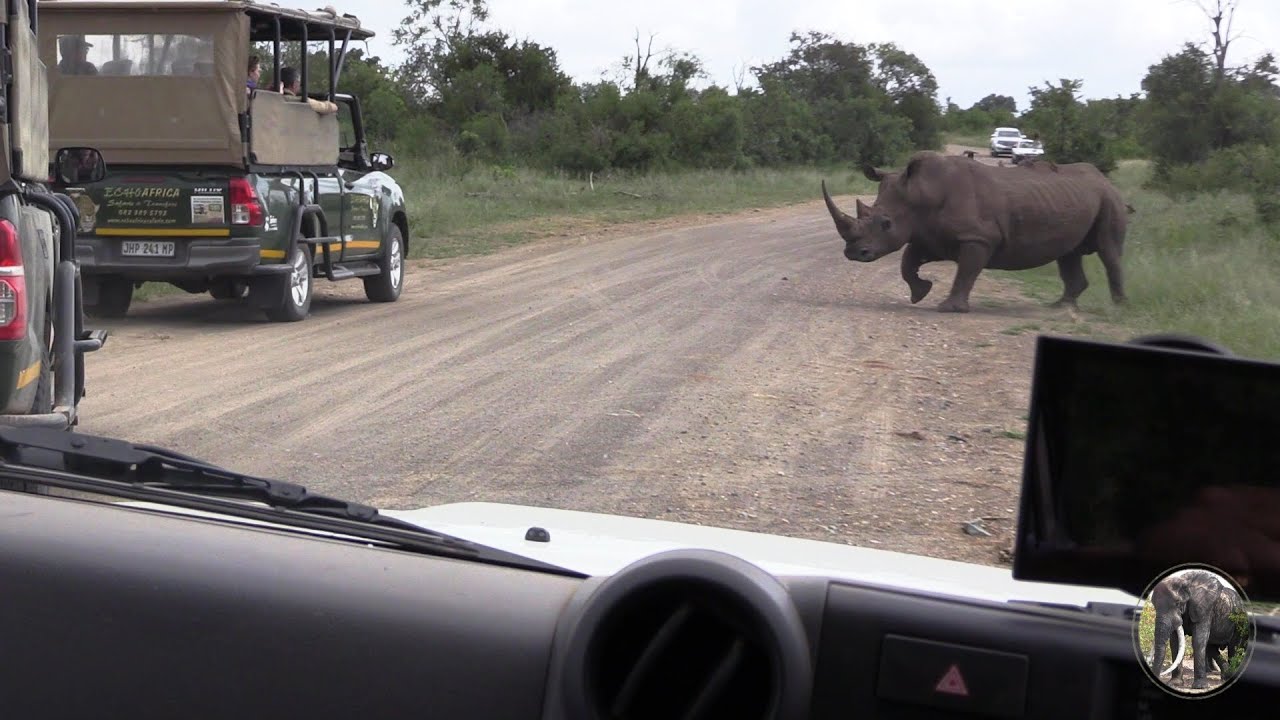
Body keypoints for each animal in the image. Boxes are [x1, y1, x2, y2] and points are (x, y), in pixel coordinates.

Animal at [821, 151, 1129, 313]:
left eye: (886, 223)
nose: (853, 253)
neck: (920, 194)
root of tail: (1106, 180)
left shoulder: (978, 237)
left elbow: (966, 272)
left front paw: (948, 308)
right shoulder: (929, 234)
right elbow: (907, 263)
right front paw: (920, 294)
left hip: (1110, 200)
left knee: (1109, 252)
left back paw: (1117, 308)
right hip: (1076, 199)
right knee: (1069, 253)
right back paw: (1061, 307)